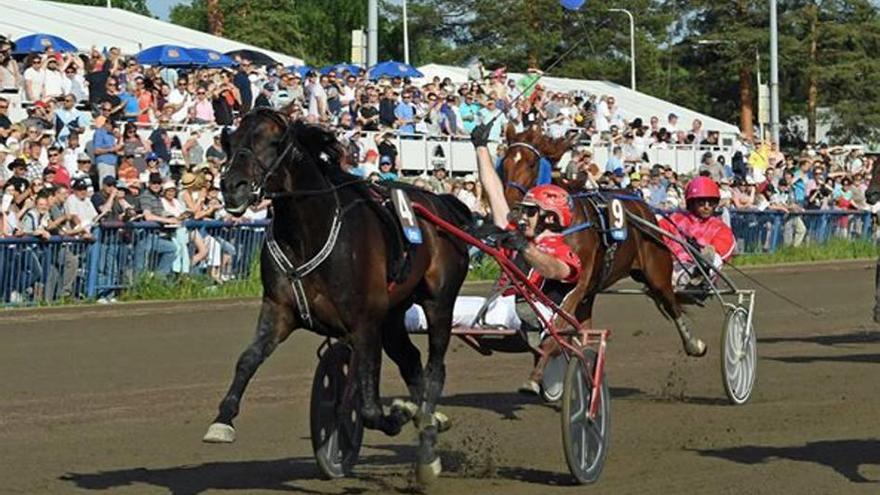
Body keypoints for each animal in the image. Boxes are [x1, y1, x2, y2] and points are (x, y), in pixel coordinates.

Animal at [205, 109, 470, 484]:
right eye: (231, 140)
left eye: (274, 142)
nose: (232, 186)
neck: (308, 233)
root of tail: (443, 203)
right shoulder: (279, 310)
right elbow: (248, 359)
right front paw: (222, 421)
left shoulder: (365, 324)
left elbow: (369, 406)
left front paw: (397, 414)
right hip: (393, 316)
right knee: (411, 362)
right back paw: (427, 428)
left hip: (438, 304)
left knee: (434, 371)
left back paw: (426, 443)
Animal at [496, 125, 708, 384]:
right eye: (504, 163)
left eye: (531, 163)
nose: (512, 209)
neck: (560, 221)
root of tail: (641, 204)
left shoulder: (578, 280)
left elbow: (558, 323)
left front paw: (537, 375)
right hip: (594, 291)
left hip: (656, 269)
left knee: (671, 302)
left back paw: (693, 343)